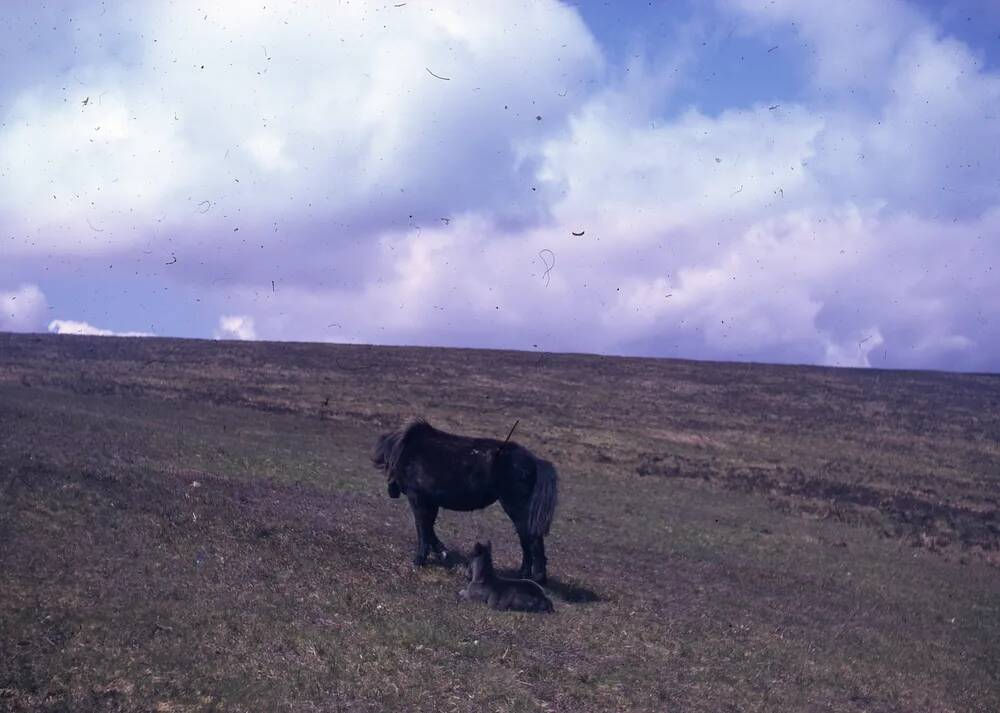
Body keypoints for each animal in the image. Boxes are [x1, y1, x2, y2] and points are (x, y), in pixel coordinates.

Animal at [376, 420, 560, 580]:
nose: (392, 492)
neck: (407, 452)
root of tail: (535, 462)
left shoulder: (418, 499)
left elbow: (422, 528)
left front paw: (419, 561)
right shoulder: (430, 503)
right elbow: (429, 528)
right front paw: (442, 552)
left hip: (517, 508)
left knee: (532, 541)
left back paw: (536, 578)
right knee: (526, 541)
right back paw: (524, 575)